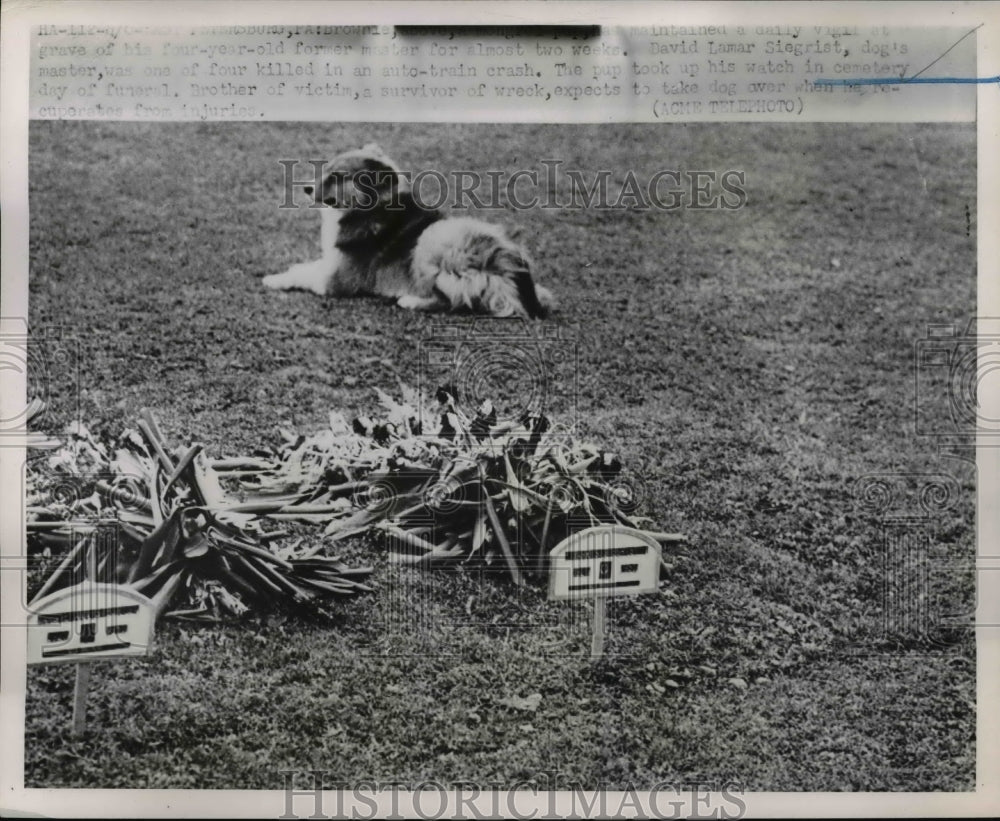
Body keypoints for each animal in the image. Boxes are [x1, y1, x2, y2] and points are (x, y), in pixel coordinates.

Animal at [264, 144, 556, 318]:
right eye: (325, 169)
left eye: (337, 176)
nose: (305, 188)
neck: (367, 209)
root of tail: (508, 264)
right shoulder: (330, 263)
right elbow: (303, 266)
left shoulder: (337, 280)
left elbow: (303, 275)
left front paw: (273, 279)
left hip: (432, 239)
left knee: (455, 301)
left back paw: (411, 300)